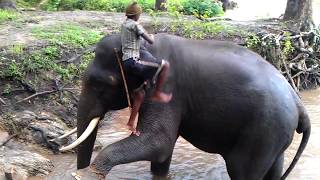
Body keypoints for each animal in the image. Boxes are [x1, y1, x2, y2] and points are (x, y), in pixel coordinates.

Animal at [57, 33, 310, 180]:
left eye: (100, 83)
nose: (77, 171)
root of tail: (298, 102)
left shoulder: (167, 86)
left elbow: (158, 141)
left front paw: (86, 175)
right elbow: (162, 151)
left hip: (262, 131)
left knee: (242, 171)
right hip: (275, 136)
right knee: (274, 169)